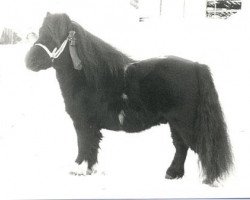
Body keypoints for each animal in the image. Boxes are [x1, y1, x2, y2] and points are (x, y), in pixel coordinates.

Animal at [24, 12, 232, 184]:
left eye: (53, 37)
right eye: (40, 32)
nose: (29, 61)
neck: (88, 77)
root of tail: (197, 66)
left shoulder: (83, 123)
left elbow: (83, 145)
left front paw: (78, 170)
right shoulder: (91, 126)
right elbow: (92, 148)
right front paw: (90, 170)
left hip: (186, 123)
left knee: (204, 148)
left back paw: (209, 180)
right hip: (176, 123)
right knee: (181, 147)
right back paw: (173, 174)